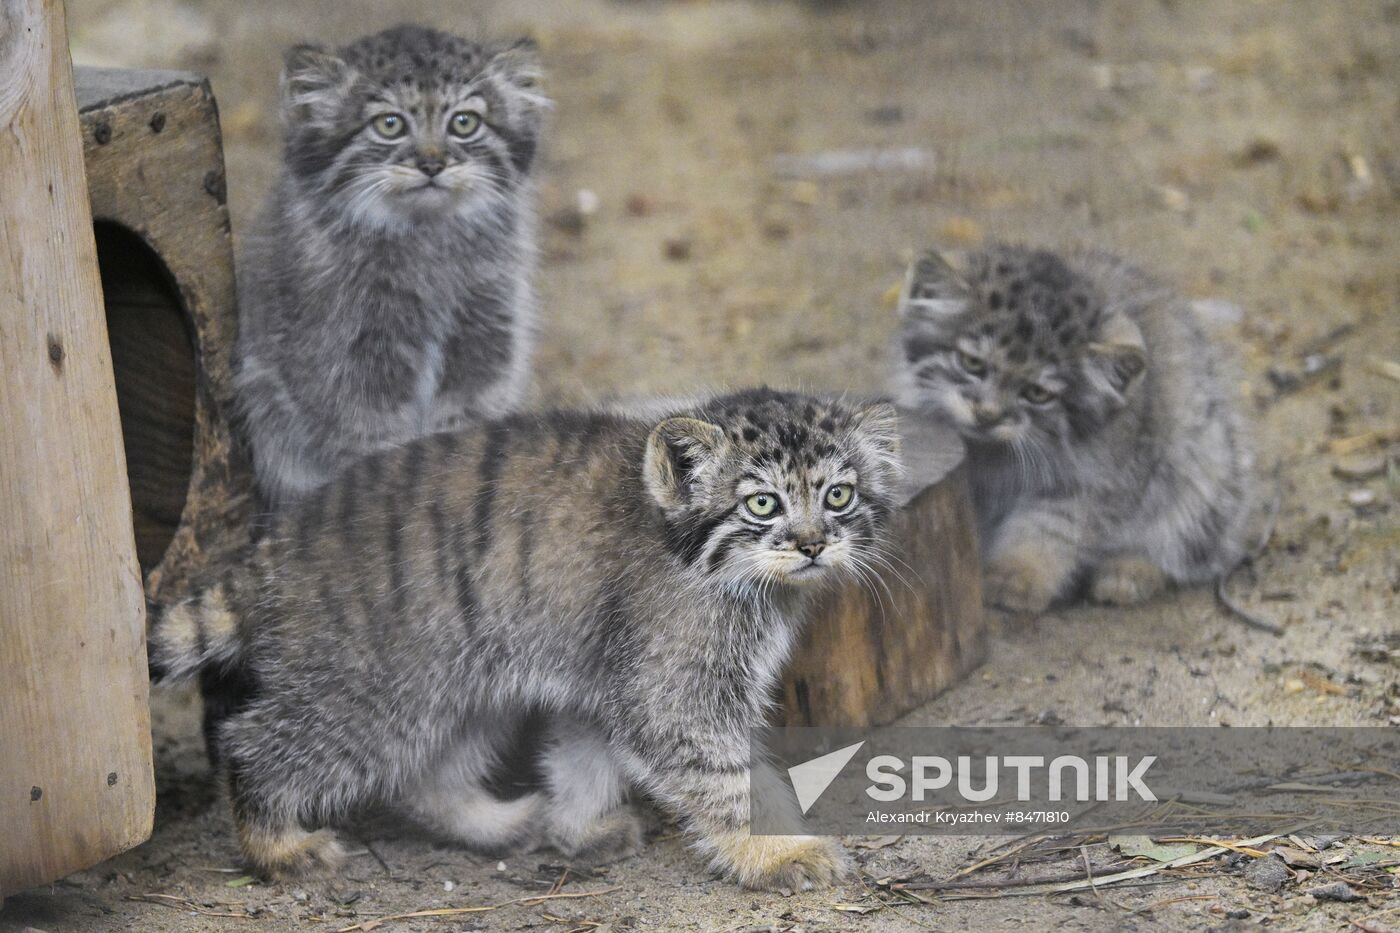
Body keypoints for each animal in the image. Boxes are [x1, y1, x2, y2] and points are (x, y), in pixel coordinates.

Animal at [147, 383, 901, 885]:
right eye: (763, 504)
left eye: (838, 496)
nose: (812, 545)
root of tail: (272, 549)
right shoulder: (673, 688)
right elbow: (730, 778)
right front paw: (781, 851)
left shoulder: (607, 676)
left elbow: (586, 755)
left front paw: (578, 828)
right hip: (370, 694)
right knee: (252, 742)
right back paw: (276, 846)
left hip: (461, 681)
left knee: (430, 774)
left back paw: (501, 822)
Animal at [232, 27, 543, 509]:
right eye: (389, 124)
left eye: (464, 122)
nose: (432, 163)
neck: (427, 241)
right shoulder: (346, 361)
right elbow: (371, 443)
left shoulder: (487, 339)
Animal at [896, 243, 1260, 613]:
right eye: (971, 363)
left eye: (1038, 393)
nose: (987, 414)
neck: (994, 455)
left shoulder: (1095, 482)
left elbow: (1052, 528)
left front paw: (1018, 573)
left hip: (1205, 468)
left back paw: (1129, 571)